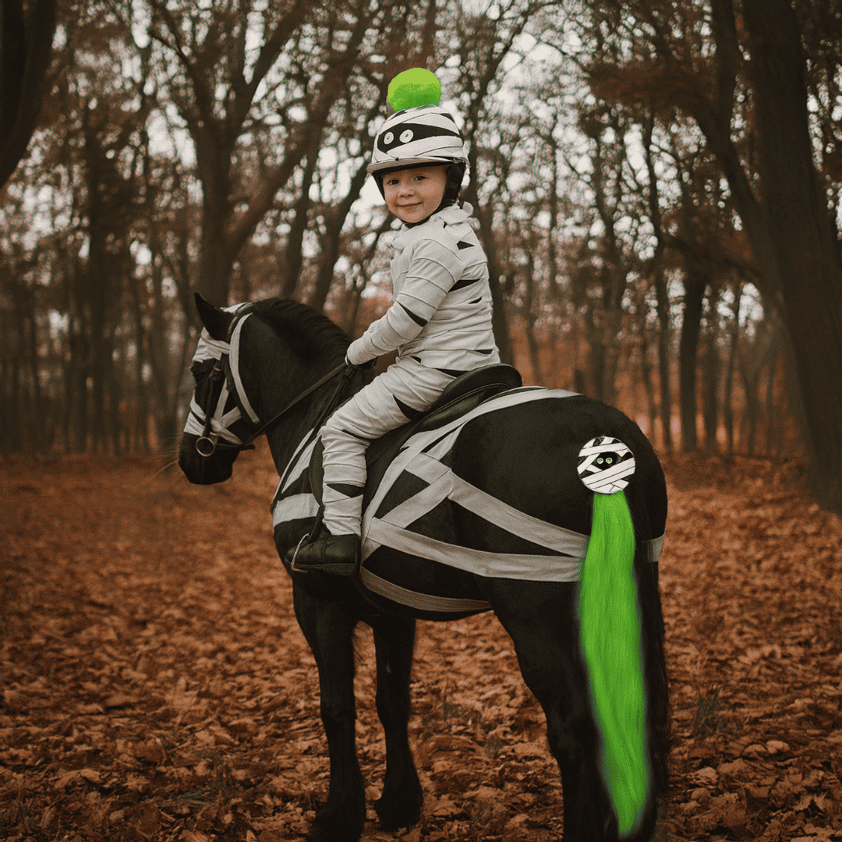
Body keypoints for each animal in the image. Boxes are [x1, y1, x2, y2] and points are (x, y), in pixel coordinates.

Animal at [178, 293, 669, 842]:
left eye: (200, 371)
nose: (190, 459)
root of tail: (605, 440)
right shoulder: (392, 612)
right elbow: (392, 702)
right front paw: (398, 804)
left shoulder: (317, 604)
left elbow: (336, 707)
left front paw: (338, 814)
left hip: (539, 617)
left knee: (574, 728)